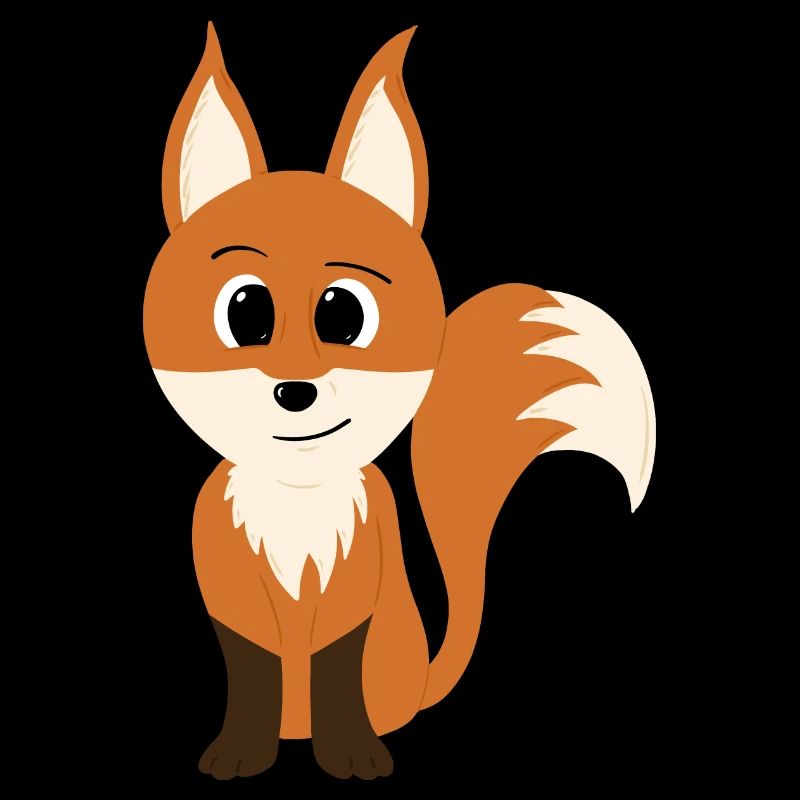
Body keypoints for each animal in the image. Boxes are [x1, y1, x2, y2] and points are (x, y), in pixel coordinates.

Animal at [143, 22, 655, 780]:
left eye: (343, 314)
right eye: (244, 311)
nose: (294, 392)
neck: (297, 497)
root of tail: (421, 684)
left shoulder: (364, 575)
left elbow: (335, 664)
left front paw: (351, 754)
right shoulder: (226, 576)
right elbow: (254, 668)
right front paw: (240, 752)